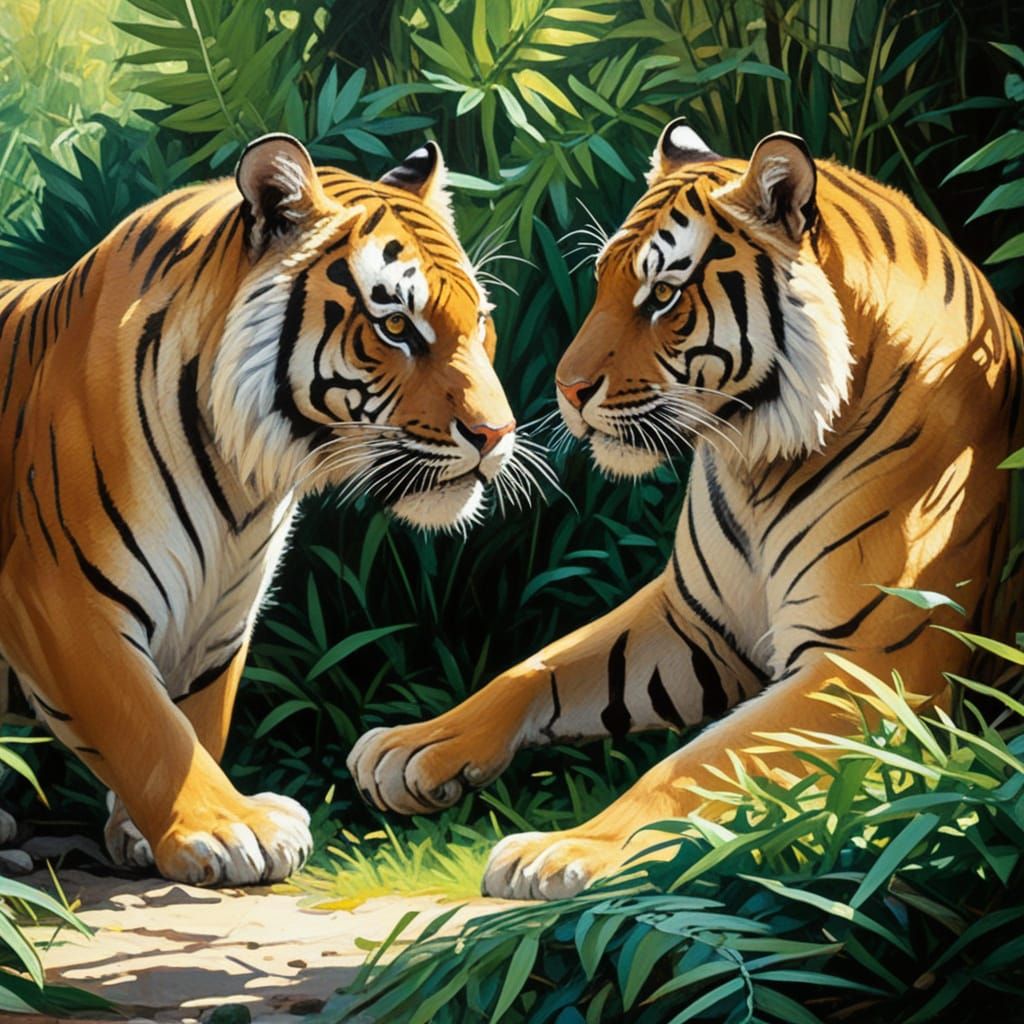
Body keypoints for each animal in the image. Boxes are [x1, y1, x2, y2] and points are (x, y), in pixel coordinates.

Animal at [0, 132, 523, 886]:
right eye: (396, 325)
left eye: (479, 321)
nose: (496, 433)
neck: (244, 483)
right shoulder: (60, 595)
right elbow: (146, 725)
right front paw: (225, 830)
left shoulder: (221, 616)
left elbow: (196, 721)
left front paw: (146, 835)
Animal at [349, 119, 1023, 900]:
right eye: (603, 281)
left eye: (664, 294)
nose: (564, 389)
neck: (757, 458)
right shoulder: (693, 620)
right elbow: (537, 668)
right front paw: (411, 746)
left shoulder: (865, 665)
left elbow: (694, 762)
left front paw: (564, 850)